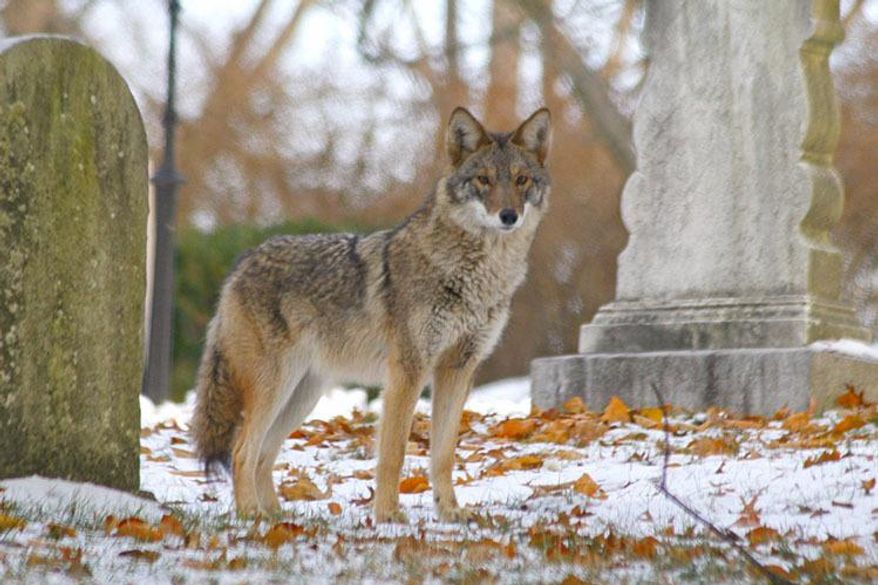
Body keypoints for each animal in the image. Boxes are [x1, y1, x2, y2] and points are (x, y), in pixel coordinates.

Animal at [190, 107, 552, 523]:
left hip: (301, 396)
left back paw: (280, 517)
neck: (475, 274)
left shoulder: (459, 369)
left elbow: (443, 455)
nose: (509, 216)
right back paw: (253, 515)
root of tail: (240, 265)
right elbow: (393, 454)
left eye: (521, 180)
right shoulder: (408, 371)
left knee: (263, 456)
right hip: (275, 389)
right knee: (242, 451)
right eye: (484, 180)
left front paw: (450, 513)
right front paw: (388, 516)